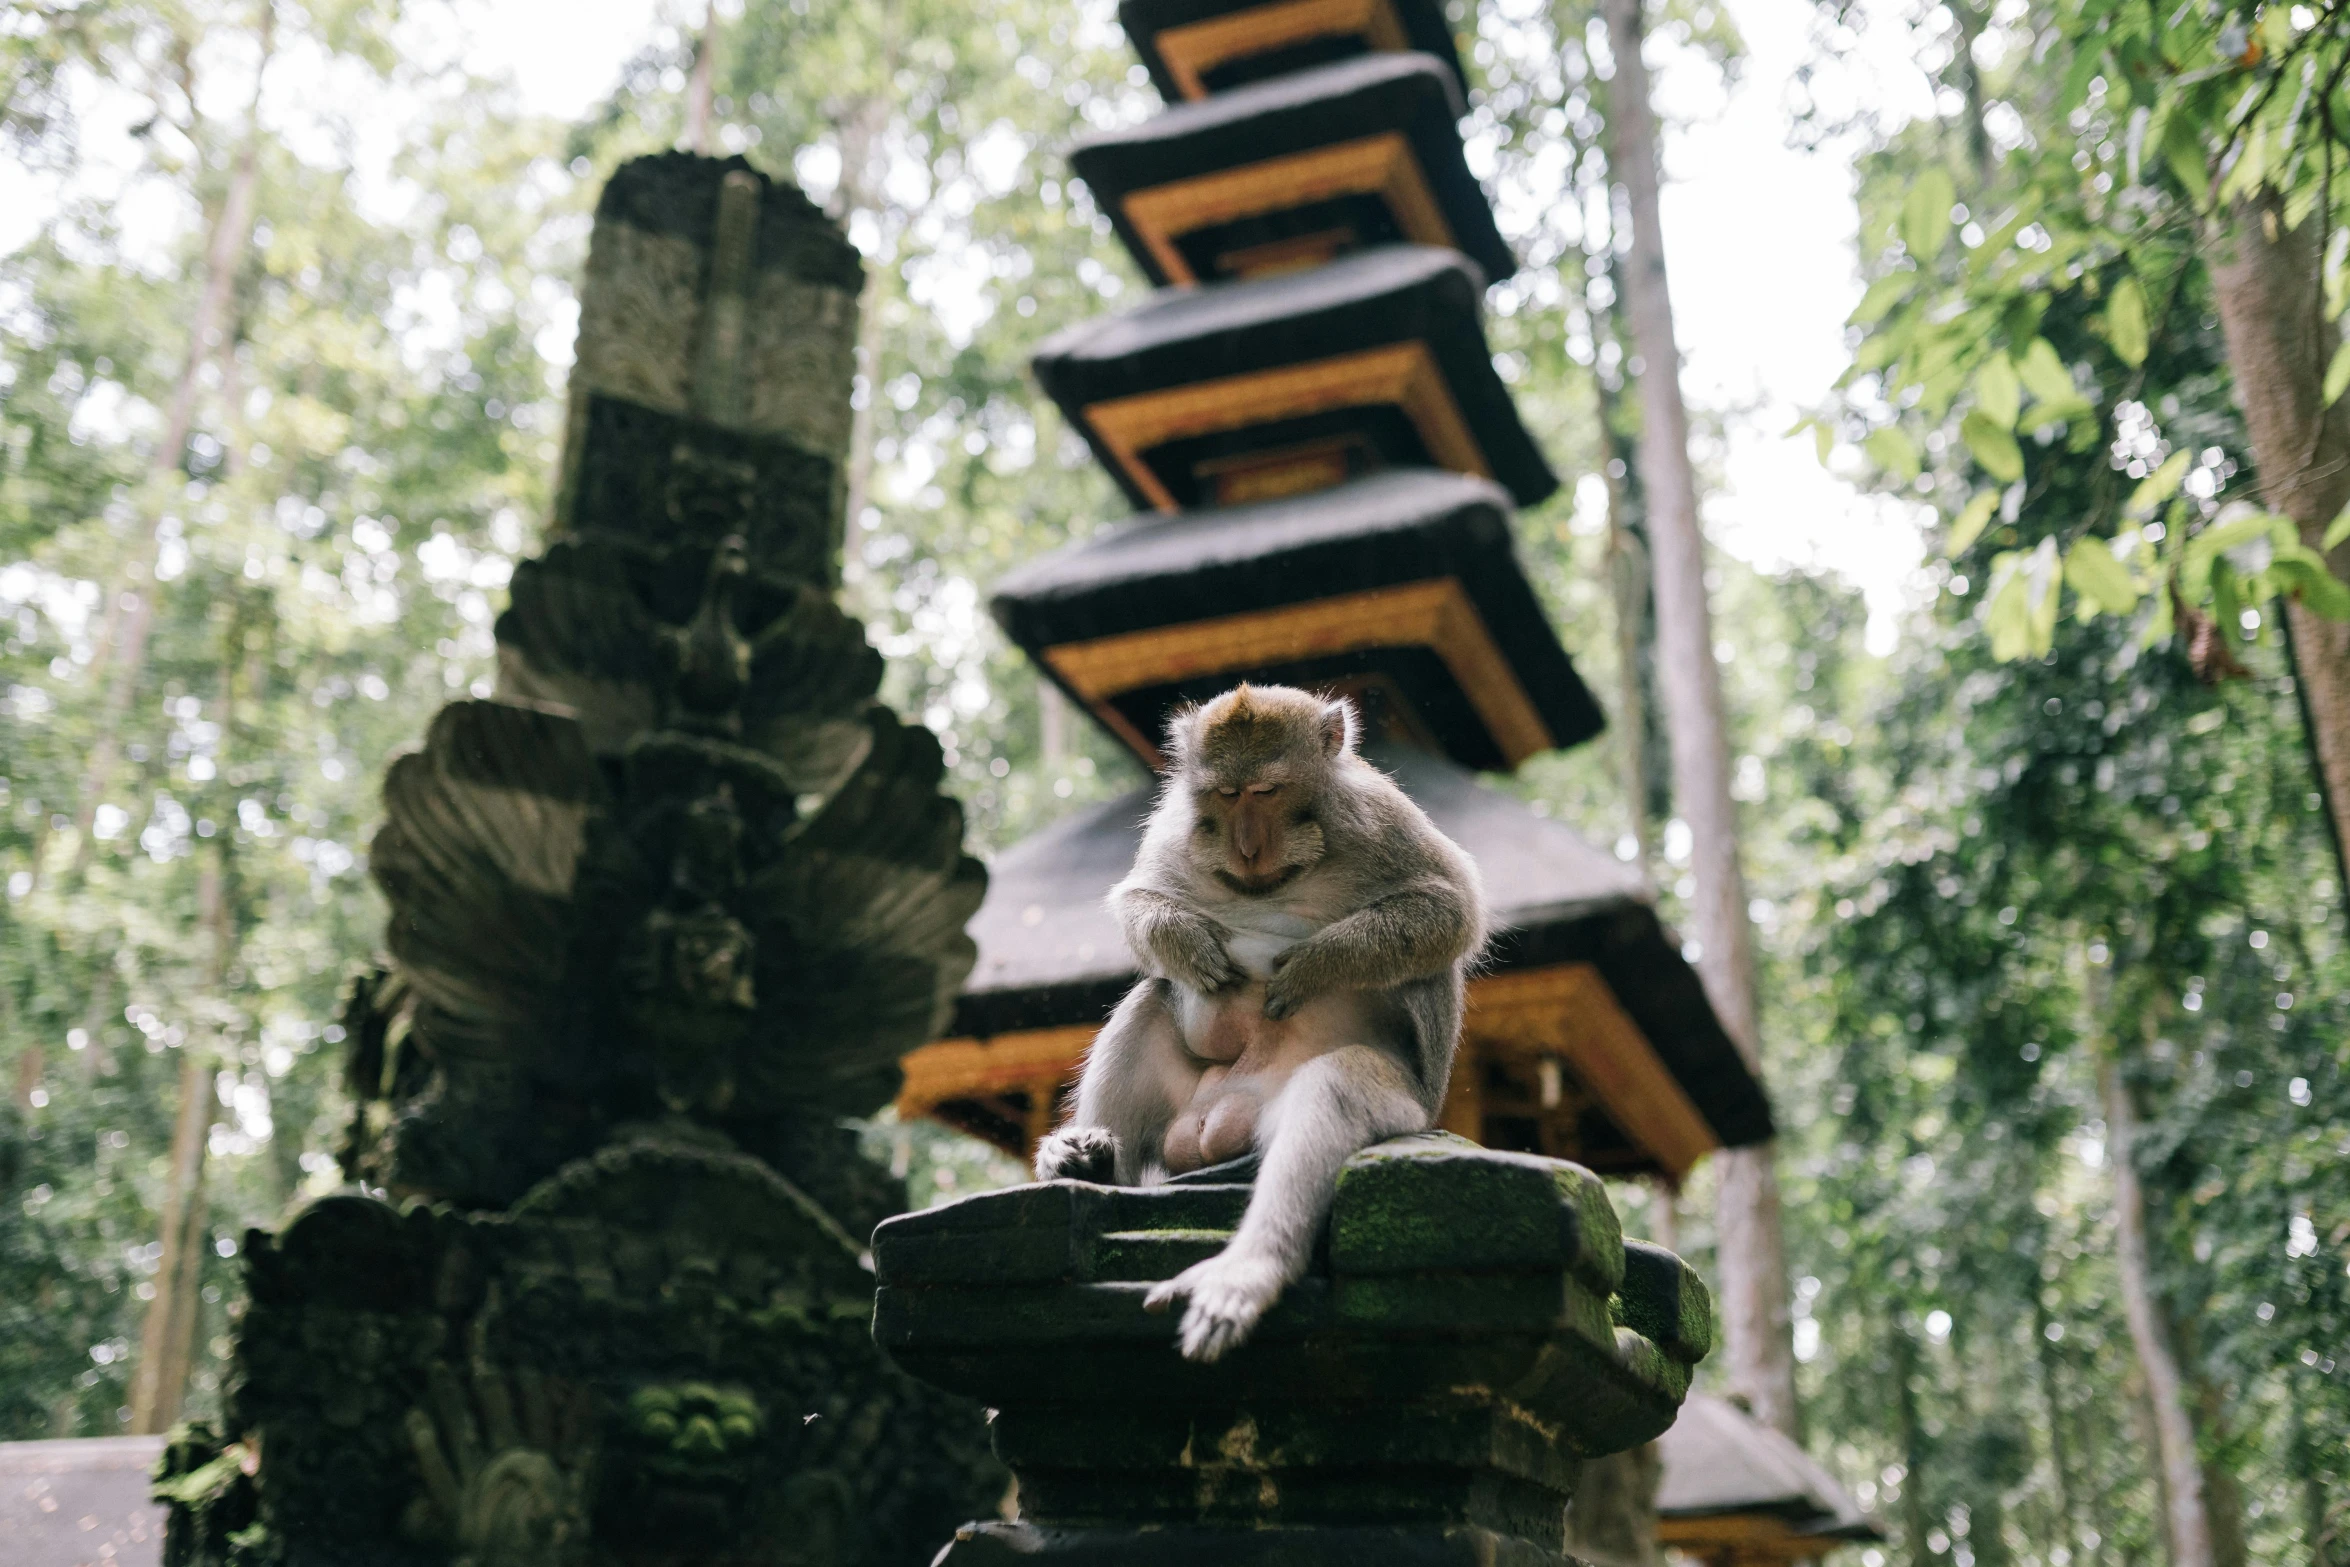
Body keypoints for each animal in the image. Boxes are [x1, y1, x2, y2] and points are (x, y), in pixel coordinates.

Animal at [1034, 686, 1475, 1362]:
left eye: (1267, 791)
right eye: (1225, 793)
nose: (1245, 846)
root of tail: (1214, 1123)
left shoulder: (1378, 816)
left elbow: (1450, 909)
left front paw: (1316, 965)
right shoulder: (1175, 830)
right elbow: (1138, 901)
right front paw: (1187, 942)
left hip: (1404, 1108)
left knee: (1335, 1088)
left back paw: (1250, 1267)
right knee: (1151, 1003)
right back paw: (1090, 1161)